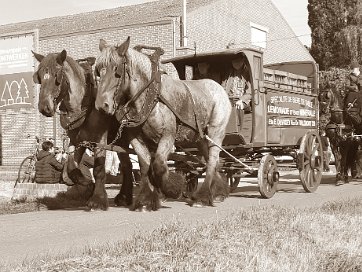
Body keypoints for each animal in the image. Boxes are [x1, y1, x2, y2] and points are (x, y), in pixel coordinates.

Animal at [32, 50, 134, 209]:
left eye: (57, 75)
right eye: (40, 76)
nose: (44, 107)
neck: (84, 106)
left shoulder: (100, 141)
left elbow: (99, 170)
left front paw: (98, 199)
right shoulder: (78, 141)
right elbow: (70, 167)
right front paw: (87, 183)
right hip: (120, 142)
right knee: (127, 166)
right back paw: (124, 197)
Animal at [94, 36, 232, 210]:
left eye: (116, 70)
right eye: (98, 70)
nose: (101, 105)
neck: (150, 97)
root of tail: (218, 87)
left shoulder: (167, 135)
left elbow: (159, 164)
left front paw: (173, 188)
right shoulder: (136, 139)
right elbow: (145, 165)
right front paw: (146, 200)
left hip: (216, 130)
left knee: (213, 159)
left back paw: (202, 197)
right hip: (199, 137)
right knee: (208, 159)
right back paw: (219, 191)